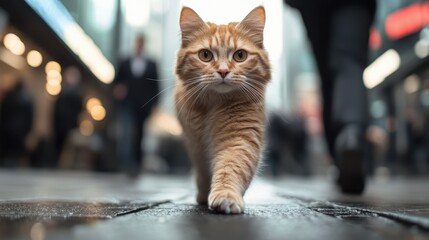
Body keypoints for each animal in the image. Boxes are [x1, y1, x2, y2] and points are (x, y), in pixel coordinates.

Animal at [175, 6, 270, 215]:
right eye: (205, 55)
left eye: (240, 56)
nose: (223, 71)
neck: (213, 106)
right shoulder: (197, 146)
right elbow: (204, 173)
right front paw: (204, 195)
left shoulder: (240, 139)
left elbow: (231, 167)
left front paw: (226, 196)